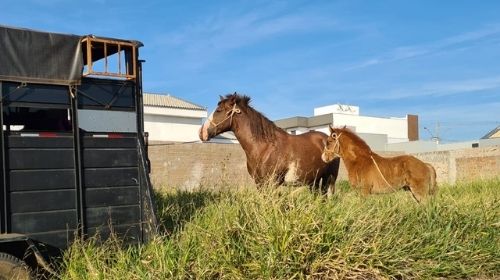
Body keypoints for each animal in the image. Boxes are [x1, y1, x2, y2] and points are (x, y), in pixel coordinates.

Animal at [199, 93, 340, 195]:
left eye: (219, 110)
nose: (201, 132)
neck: (264, 147)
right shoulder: (259, 183)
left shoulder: (271, 183)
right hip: (314, 180)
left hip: (329, 178)